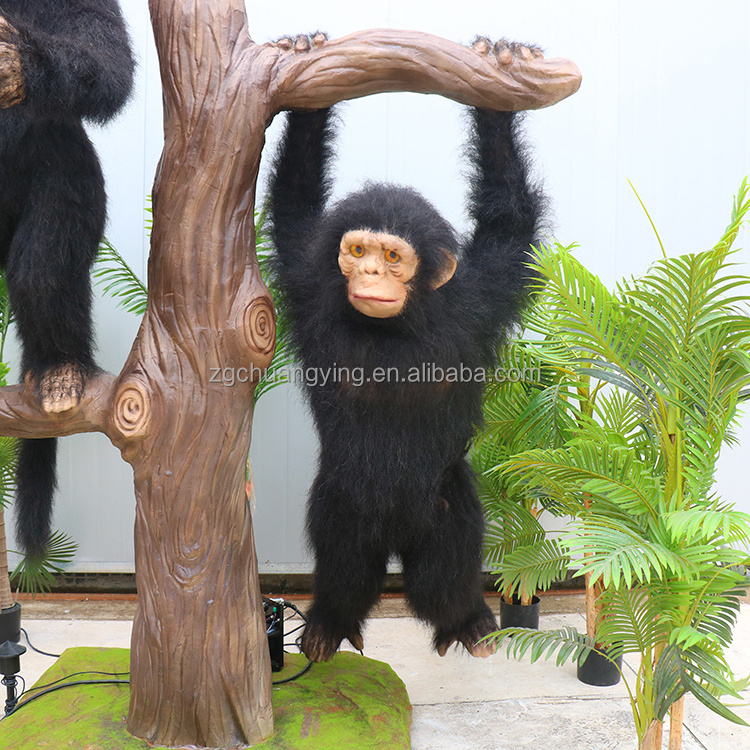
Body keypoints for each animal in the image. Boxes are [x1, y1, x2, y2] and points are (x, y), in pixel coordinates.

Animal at [270, 39, 548, 664]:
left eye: (393, 256)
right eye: (357, 250)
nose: (371, 272)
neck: (395, 331)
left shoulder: (482, 293)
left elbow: (509, 218)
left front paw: (500, 77)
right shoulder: (306, 278)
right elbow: (294, 206)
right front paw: (306, 83)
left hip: (449, 511)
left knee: (441, 580)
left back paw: (468, 619)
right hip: (341, 511)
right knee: (347, 571)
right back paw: (327, 622)